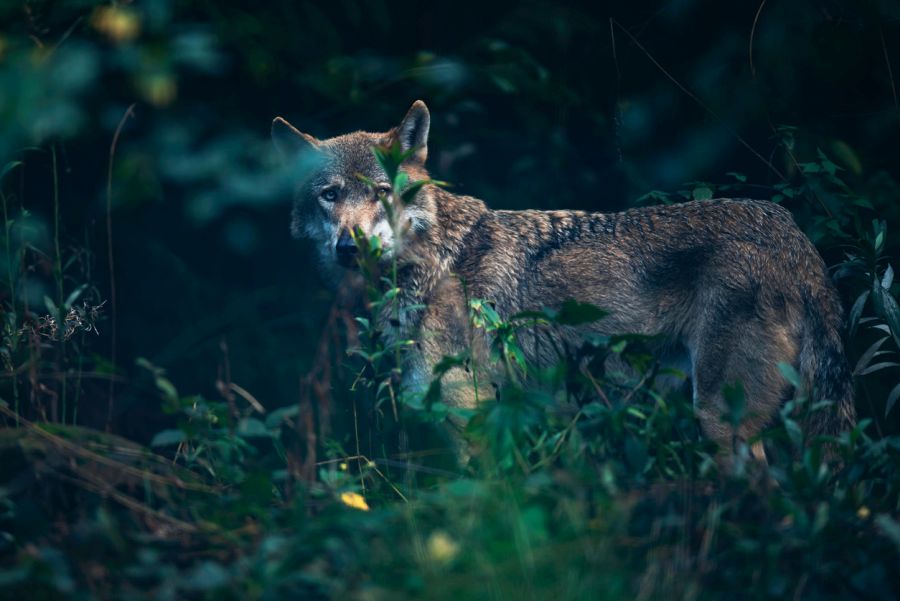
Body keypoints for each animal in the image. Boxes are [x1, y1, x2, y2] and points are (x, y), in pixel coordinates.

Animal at [268, 101, 856, 454]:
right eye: (330, 195)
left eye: (381, 193)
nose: (351, 246)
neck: (431, 267)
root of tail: (791, 234)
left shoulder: (468, 421)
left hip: (717, 421)